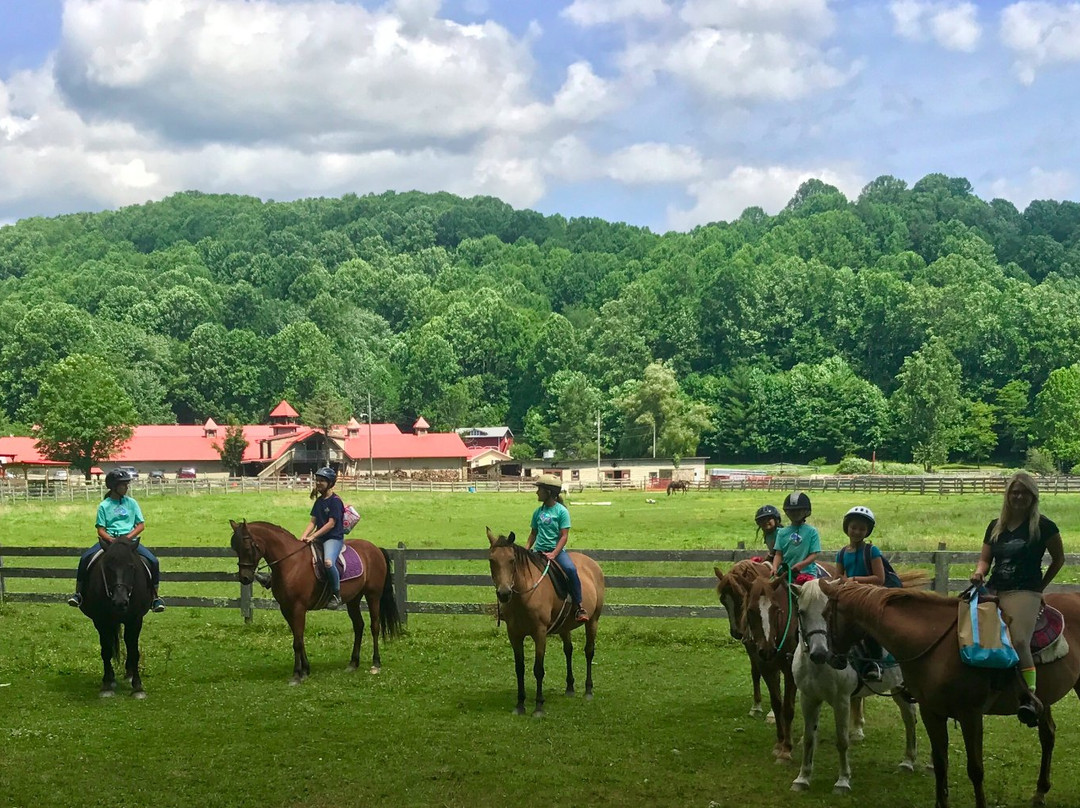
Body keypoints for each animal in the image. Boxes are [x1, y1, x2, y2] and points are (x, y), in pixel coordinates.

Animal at [78, 540, 152, 695]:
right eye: (107, 567)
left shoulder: (136, 620)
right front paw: (107, 684)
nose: (120, 602)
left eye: (131, 566)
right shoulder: (100, 621)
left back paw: (129, 674)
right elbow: (106, 650)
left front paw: (137, 687)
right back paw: (112, 678)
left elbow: (134, 651)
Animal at [227, 520, 401, 687]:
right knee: (359, 626)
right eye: (235, 548)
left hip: (373, 596)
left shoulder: (298, 608)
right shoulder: (286, 608)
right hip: (353, 599)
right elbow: (299, 638)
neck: (291, 562)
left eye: (247, 547)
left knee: (375, 627)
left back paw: (376, 663)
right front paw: (305, 670)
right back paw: (353, 663)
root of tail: (374, 548)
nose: (244, 578)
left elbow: (297, 642)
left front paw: (297, 675)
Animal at [490, 527, 609, 717]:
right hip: (565, 626)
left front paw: (539, 706)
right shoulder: (514, 634)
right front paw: (520, 705)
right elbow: (519, 668)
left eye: (512, 560)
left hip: (593, 620)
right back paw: (570, 688)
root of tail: (592, 564)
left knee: (589, 651)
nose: (504, 593)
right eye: (491, 560)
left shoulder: (540, 633)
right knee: (568, 650)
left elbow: (538, 669)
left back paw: (588, 690)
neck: (525, 595)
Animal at [816, 578, 1080, 808]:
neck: (935, 642)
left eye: (826, 614)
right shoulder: (931, 712)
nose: (832, 658)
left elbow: (976, 769)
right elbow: (941, 763)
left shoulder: (970, 715)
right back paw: (1040, 792)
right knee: (1048, 735)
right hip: (1044, 699)